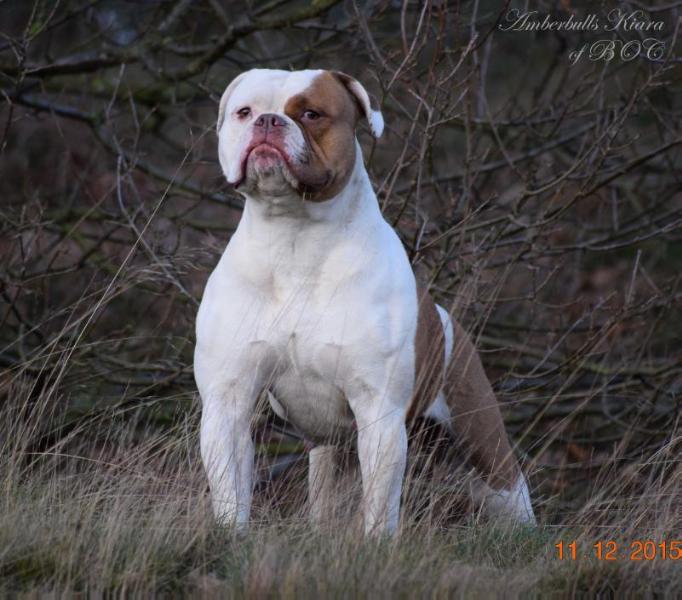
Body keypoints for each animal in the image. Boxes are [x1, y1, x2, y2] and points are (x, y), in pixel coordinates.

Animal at [194, 69, 532, 536]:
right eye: (244, 111)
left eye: (312, 113)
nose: (267, 121)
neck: (293, 236)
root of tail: (446, 318)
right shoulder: (227, 401)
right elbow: (230, 491)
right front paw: (231, 535)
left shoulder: (379, 413)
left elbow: (379, 507)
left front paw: (375, 544)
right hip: (332, 455)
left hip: (485, 449)